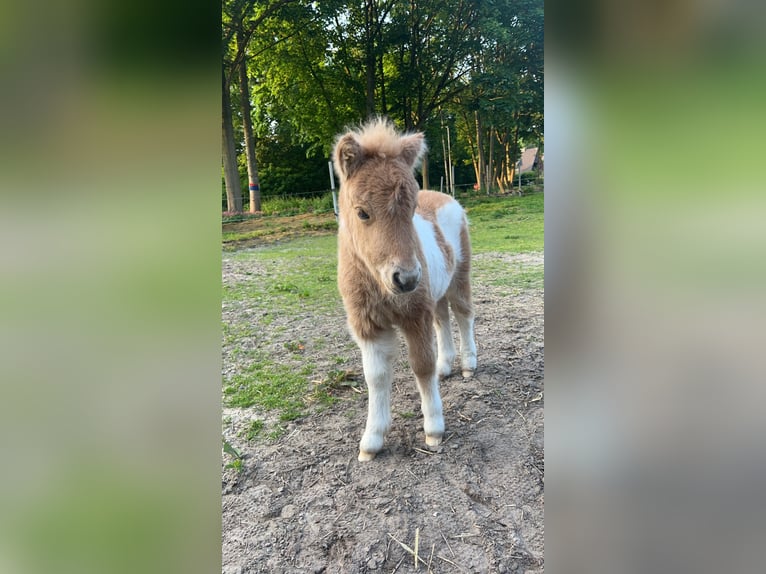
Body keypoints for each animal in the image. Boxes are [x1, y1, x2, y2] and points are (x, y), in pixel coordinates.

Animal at [334, 121, 476, 464]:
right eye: (362, 212)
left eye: (411, 209)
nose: (406, 278)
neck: (379, 286)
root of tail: (446, 197)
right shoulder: (368, 326)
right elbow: (375, 377)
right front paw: (371, 442)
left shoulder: (414, 315)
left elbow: (421, 365)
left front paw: (434, 430)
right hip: (435, 290)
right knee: (442, 319)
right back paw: (446, 368)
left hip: (459, 277)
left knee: (463, 314)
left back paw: (468, 365)